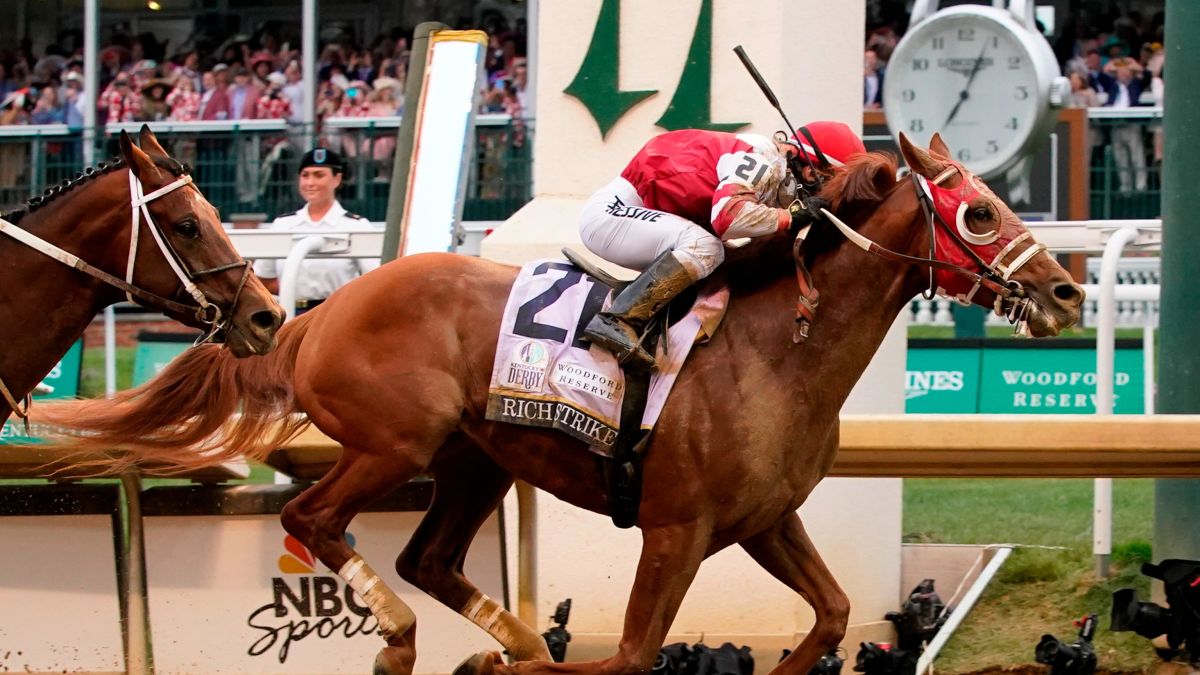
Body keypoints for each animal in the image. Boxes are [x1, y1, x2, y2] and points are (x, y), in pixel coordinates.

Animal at [37, 132, 1089, 672]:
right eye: (980, 212)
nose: (1068, 293)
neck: (778, 350)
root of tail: (318, 310)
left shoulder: (762, 519)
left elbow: (830, 616)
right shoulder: (674, 529)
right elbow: (629, 656)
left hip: (474, 462)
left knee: (426, 556)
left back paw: (503, 646)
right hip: (392, 443)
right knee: (316, 518)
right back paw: (412, 641)